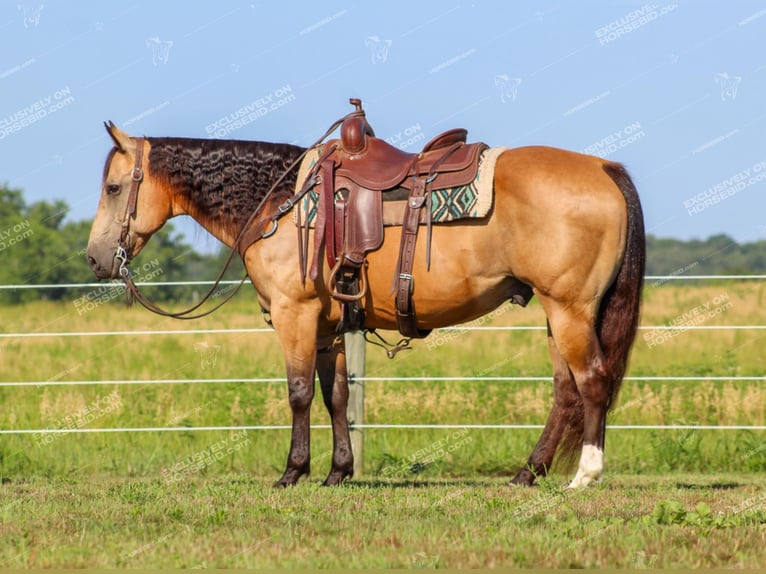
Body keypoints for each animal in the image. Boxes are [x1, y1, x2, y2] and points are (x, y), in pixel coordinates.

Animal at [87, 102, 644, 490]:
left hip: (570, 310)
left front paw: (292, 472)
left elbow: (298, 392)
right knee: (566, 391)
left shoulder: (295, 314)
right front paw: (338, 472)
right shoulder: (329, 325)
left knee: (592, 381)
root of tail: (603, 167)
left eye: (113, 188)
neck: (278, 202)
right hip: (558, 313)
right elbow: (335, 395)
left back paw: (584, 475)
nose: (95, 259)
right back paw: (528, 473)